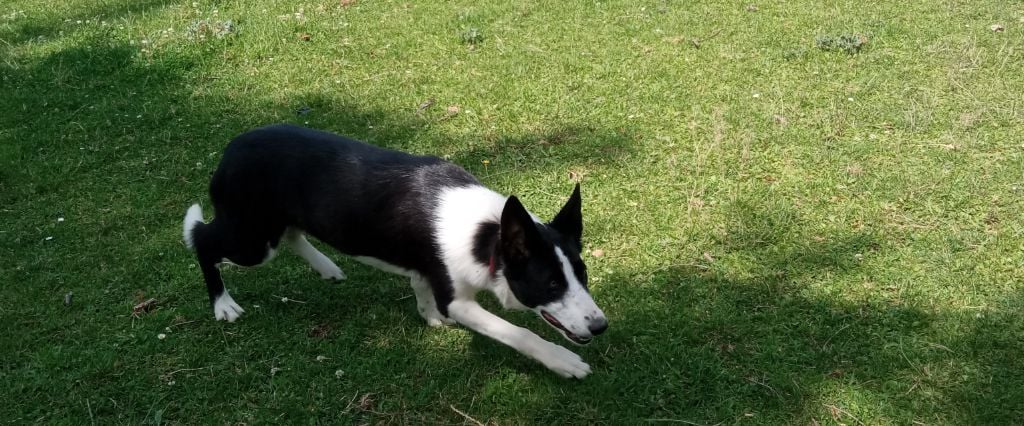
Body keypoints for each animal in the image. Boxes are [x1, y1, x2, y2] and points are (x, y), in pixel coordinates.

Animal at [182, 124, 606, 376]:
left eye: (582, 275)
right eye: (551, 285)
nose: (600, 326)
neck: (487, 235)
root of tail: (231, 149)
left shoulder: (427, 268)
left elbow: (421, 286)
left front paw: (429, 315)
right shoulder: (458, 298)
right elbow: (517, 332)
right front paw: (562, 361)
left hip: (269, 230)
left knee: (291, 235)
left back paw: (326, 267)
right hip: (251, 241)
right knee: (202, 238)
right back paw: (222, 304)